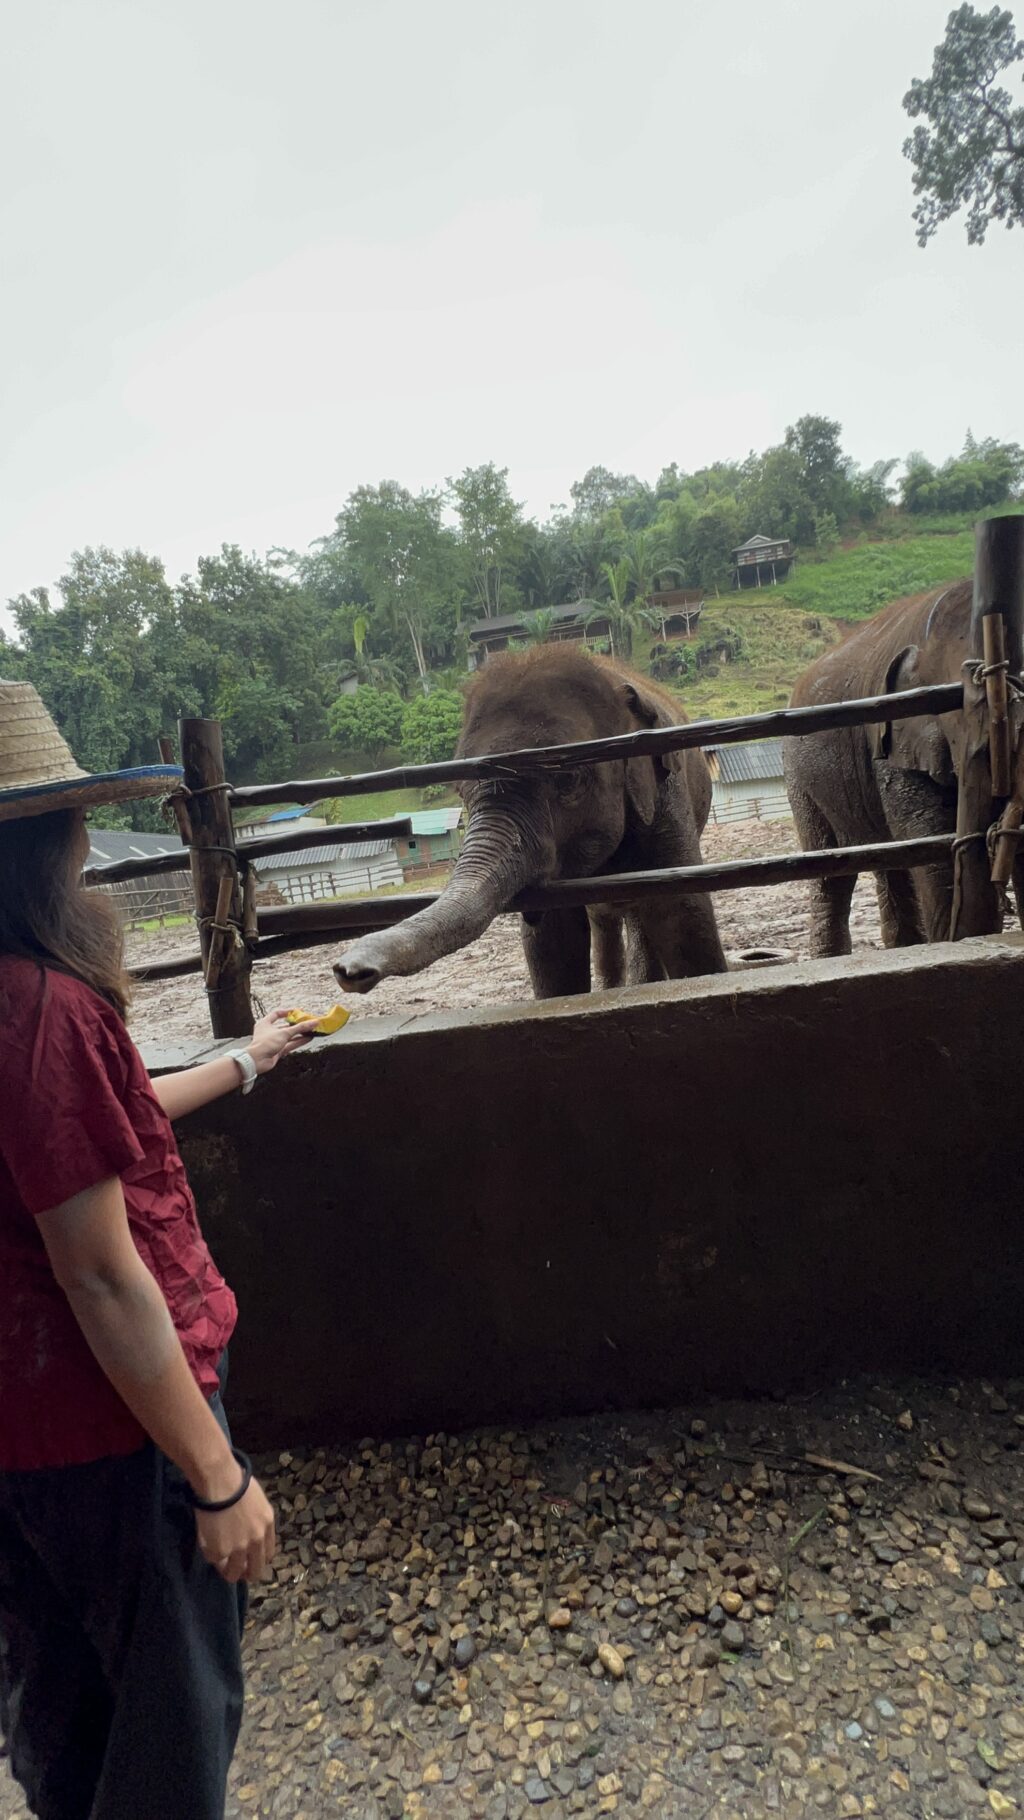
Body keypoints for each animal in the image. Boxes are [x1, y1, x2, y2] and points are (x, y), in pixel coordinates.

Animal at [332, 644, 723, 997]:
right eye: (460, 790)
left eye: (568, 779)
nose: (347, 970)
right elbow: (552, 944)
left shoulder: (665, 799)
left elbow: (684, 916)